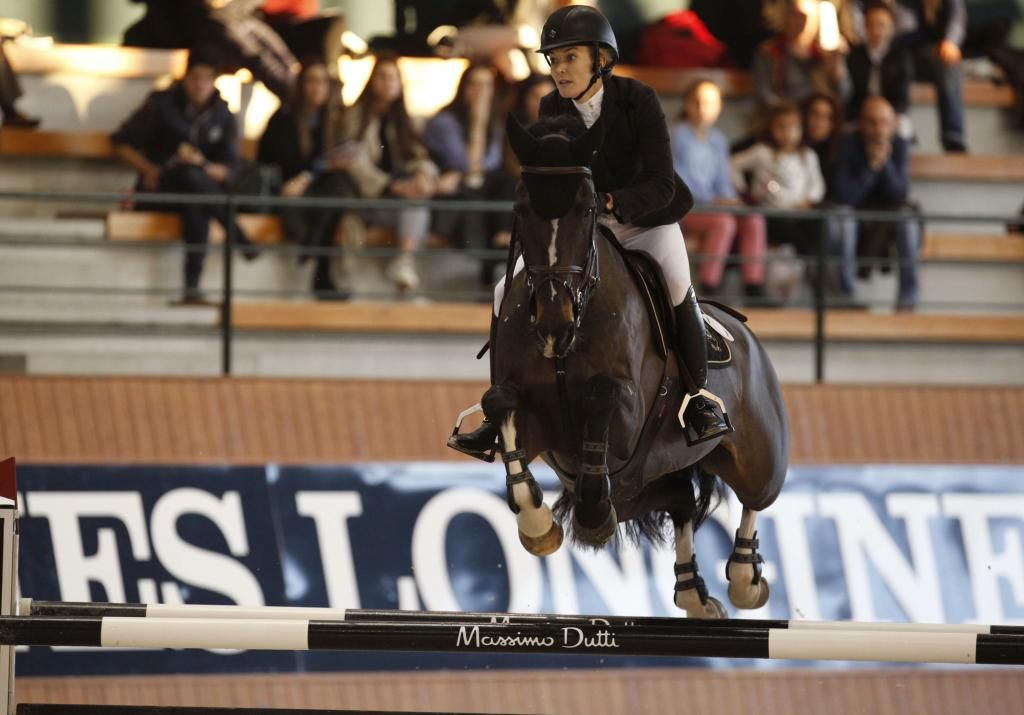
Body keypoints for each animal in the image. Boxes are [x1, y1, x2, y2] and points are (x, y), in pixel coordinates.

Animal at [452, 114, 786, 614]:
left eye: (588, 208)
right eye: (521, 207)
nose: (553, 323)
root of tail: (745, 331)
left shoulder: (625, 419)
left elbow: (601, 399)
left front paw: (584, 522)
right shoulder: (538, 425)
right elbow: (501, 405)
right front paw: (539, 528)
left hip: (757, 459)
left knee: (753, 496)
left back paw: (745, 579)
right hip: (636, 484)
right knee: (680, 499)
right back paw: (693, 592)